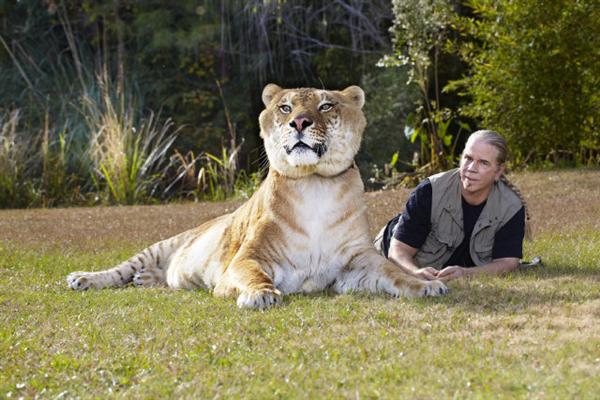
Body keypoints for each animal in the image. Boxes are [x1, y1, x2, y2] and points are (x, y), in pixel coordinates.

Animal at [68, 84, 448, 310]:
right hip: (163, 244)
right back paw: (84, 279)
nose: (300, 122)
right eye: (285, 108)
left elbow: (394, 272)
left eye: (326, 105)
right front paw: (261, 295)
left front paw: (426, 284)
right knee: (119, 270)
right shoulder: (246, 259)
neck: (315, 186)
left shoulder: (354, 265)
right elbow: (251, 275)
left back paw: (147, 279)